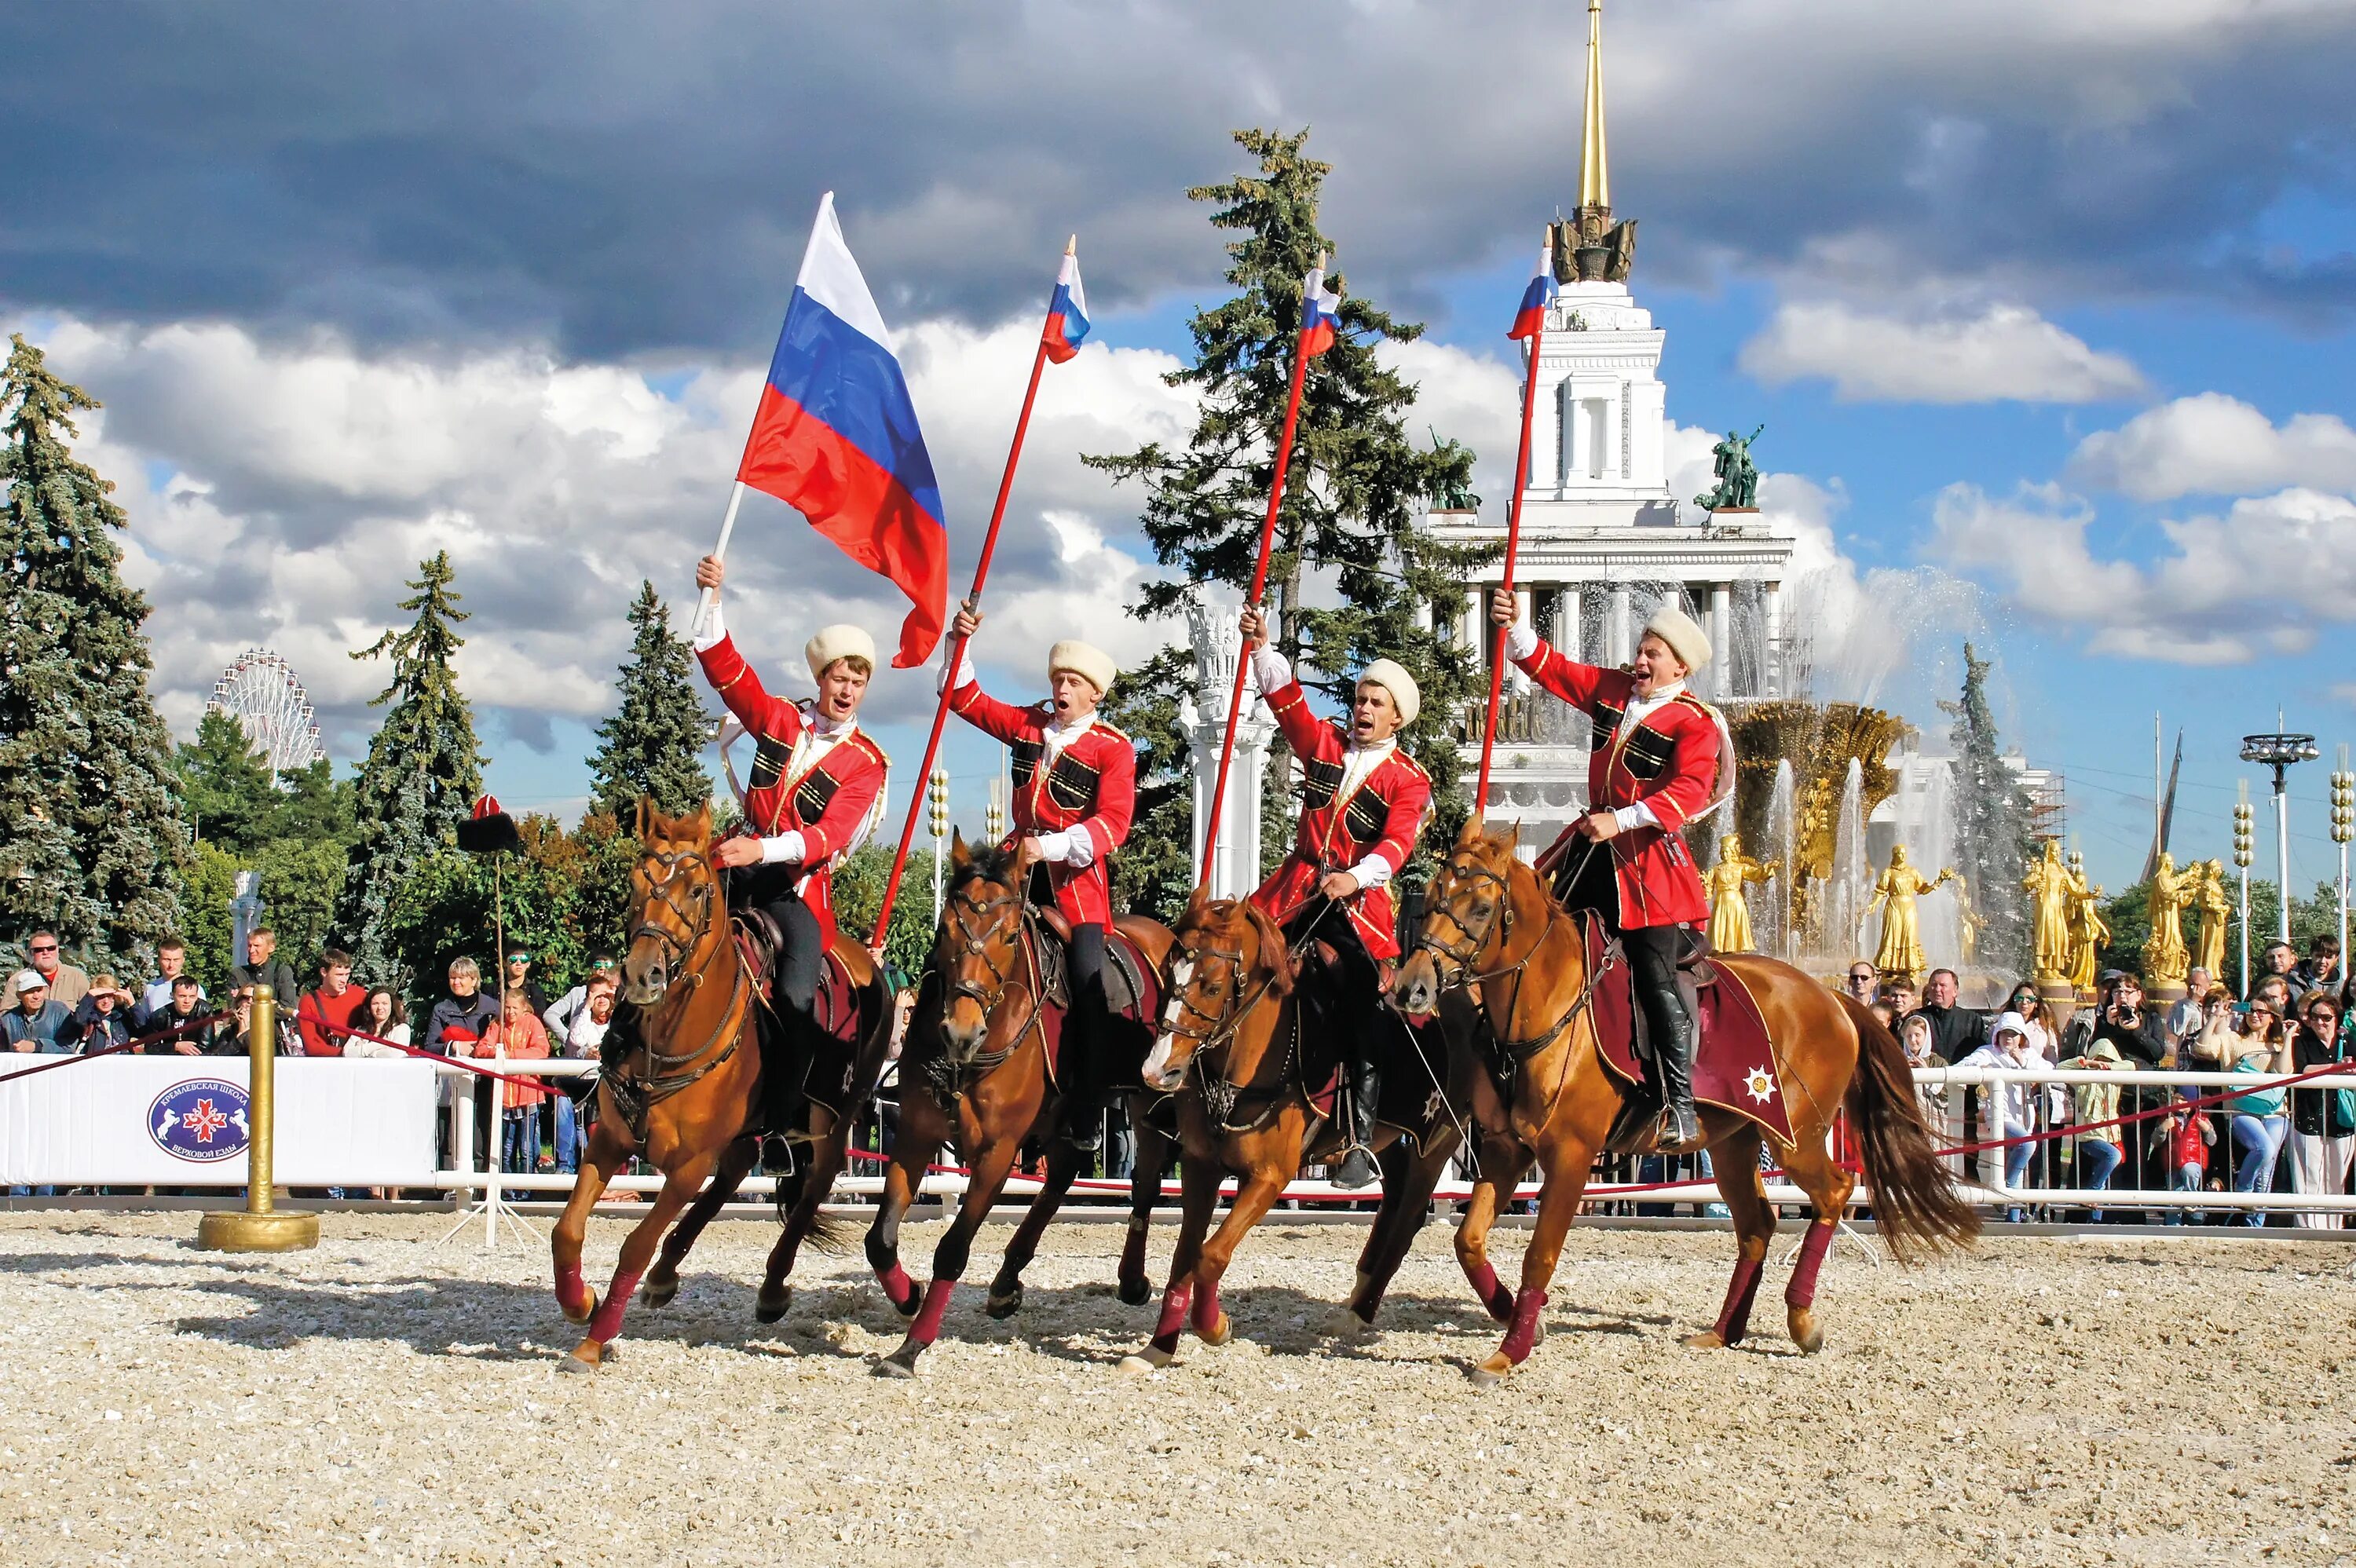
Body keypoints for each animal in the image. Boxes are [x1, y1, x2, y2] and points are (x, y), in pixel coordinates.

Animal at [551, 800, 891, 1375]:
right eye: (635, 881)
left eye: (696, 889)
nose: (643, 975)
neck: (670, 1038)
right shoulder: (610, 1141)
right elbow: (567, 1230)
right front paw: (581, 1302)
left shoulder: (688, 1168)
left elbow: (635, 1245)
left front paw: (593, 1341)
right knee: (737, 1170)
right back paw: (667, 1274)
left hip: (833, 1116)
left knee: (813, 1186)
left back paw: (772, 1286)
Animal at [867, 838, 1178, 1375]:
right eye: (945, 929)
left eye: (1011, 937)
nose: (961, 1033)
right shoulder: (916, 1135)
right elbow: (880, 1240)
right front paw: (908, 1298)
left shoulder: (997, 1153)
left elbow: (952, 1250)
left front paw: (911, 1346)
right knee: (1064, 1174)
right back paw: (1007, 1281)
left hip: (1148, 1101)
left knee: (1144, 1183)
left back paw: (1132, 1280)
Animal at [1112, 890, 1442, 1365]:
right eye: (1168, 976)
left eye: (1212, 987)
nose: (1158, 1071)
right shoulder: (1200, 1165)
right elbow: (1185, 1256)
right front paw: (1158, 1347)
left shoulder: (1271, 1176)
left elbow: (1210, 1256)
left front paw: (1215, 1326)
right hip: (1395, 1141)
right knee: (1394, 1201)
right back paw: (1359, 1293)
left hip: (1438, 1143)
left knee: (1411, 1217)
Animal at [1385, 819, 1979, 1384]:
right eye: (1433, 893)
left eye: (1481, 906)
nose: (1412, 988)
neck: (1550, 1002)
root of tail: (1830, 995)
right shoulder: (1508, 1150)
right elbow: (1469, 1240)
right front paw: (1517, 1317)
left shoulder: (1572, 1157)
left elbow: (1540, 1255)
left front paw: (1508, 1353)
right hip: (1734, 1144)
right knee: (1757, 1224)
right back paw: (1724, 1331)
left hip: (1796, 1138)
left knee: (1834, 1192)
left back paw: (1801, 1320)